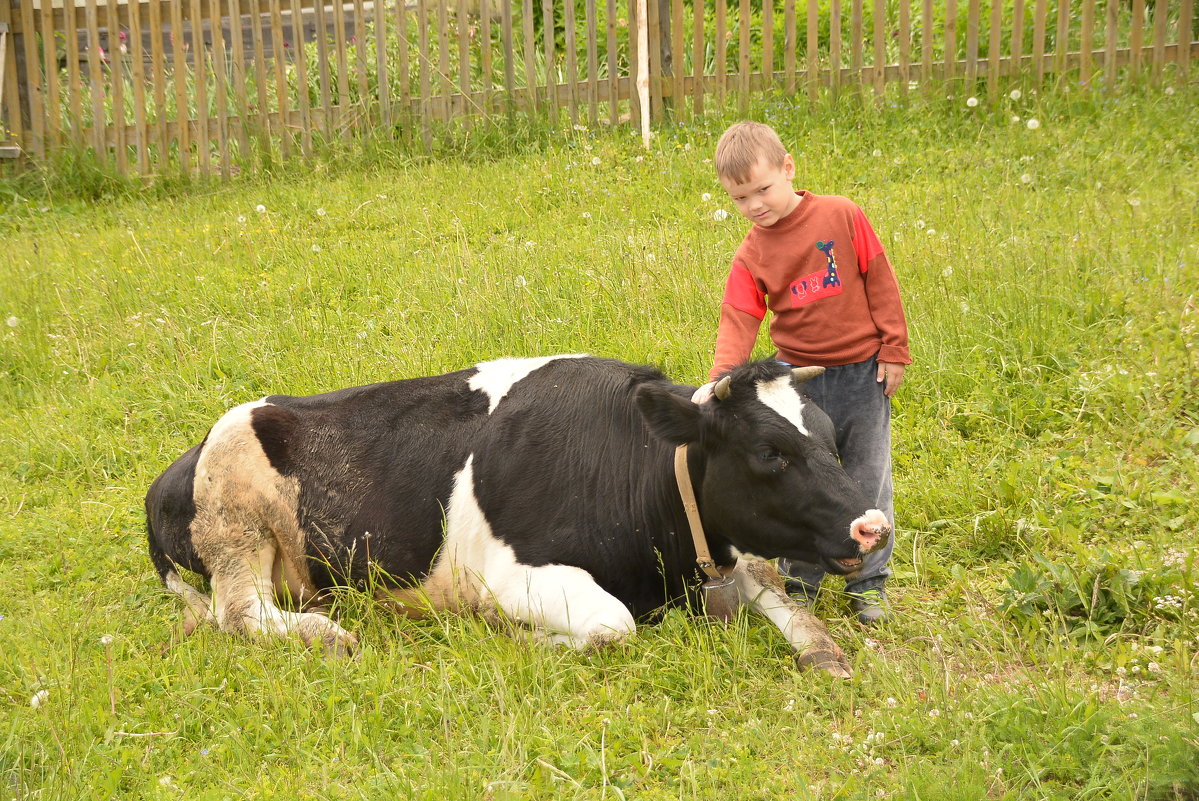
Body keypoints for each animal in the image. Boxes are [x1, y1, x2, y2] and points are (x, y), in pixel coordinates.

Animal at [145, 357, 892, 676]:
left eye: (830, 438)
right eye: (769, 452)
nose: (871, 526)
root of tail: (176, 465)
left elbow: (790, 606)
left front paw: (823, 650)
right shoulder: (509, 573)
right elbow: (613, 626)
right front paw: (527, 640)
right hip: (235, 517)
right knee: (240, 613)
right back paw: (326, 636)